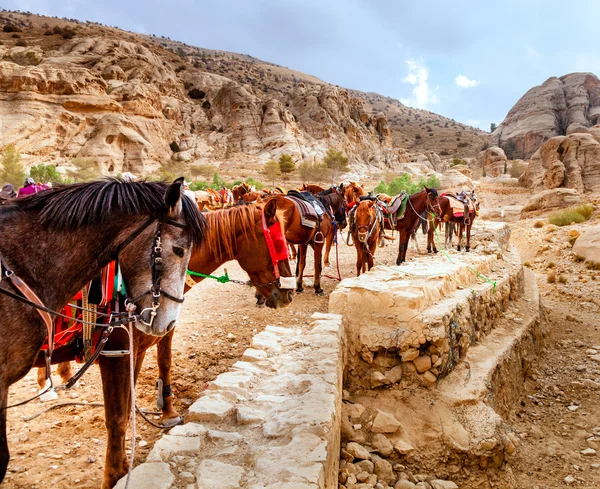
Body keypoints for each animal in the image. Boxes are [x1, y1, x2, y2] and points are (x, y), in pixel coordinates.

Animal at [0, 177, 206, 486]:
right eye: (179, 250)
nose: (168, 323)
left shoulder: (130, 351)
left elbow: (126, 410)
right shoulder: (115, 355)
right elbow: (117, 418)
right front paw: (114, 477)